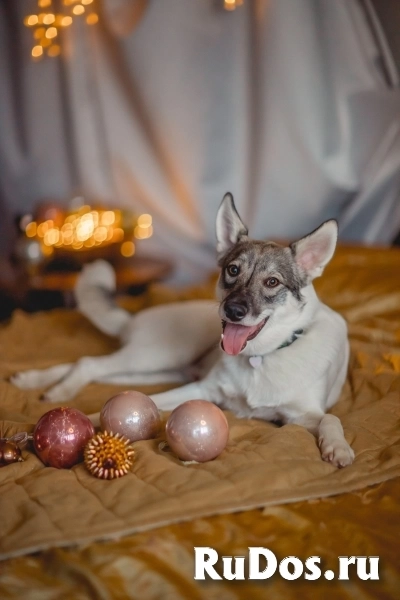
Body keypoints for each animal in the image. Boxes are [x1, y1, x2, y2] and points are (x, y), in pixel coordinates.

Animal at [11, 195, 354, 466]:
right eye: (232, 270)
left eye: (272, 282)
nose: (233, 311)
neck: (261, 357)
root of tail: (136, 319)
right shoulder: (201, 390)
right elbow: (126, 407)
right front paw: (82, 421)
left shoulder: (301, 415)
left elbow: (331, 417)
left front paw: (338, 447)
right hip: (158, 356)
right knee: (88, 363)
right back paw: (54, 389)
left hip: (157, 367)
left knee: (91, 368)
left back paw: (36, 382)